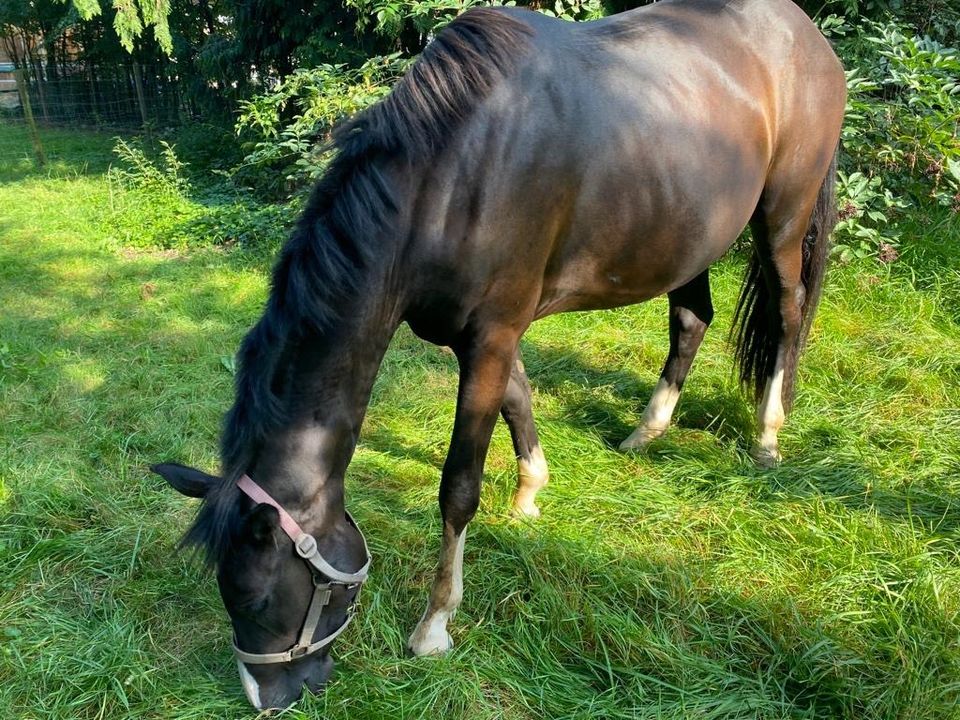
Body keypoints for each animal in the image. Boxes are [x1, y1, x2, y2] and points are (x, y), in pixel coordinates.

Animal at [148, 0, 840, 708]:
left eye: (256, 599)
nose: (269, 698)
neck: (454, 173)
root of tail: (803, 32)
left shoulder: (492, 335)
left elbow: (458, 487)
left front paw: (434, 625)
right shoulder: (485, 335)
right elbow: (518, 398)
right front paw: (531, 493)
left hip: (783, 215)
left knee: (788, 313)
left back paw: (767, 436)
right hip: (691, 235)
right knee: (691, 320)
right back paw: (647, 431)